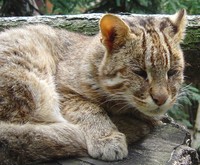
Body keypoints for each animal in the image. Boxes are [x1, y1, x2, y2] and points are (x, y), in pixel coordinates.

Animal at [0, 9, 187, 165]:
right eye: (139, 72)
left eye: (172, 72)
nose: (161, 99)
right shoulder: (62, 91)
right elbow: (89, 108)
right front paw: (107, 137)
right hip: (33, 83)